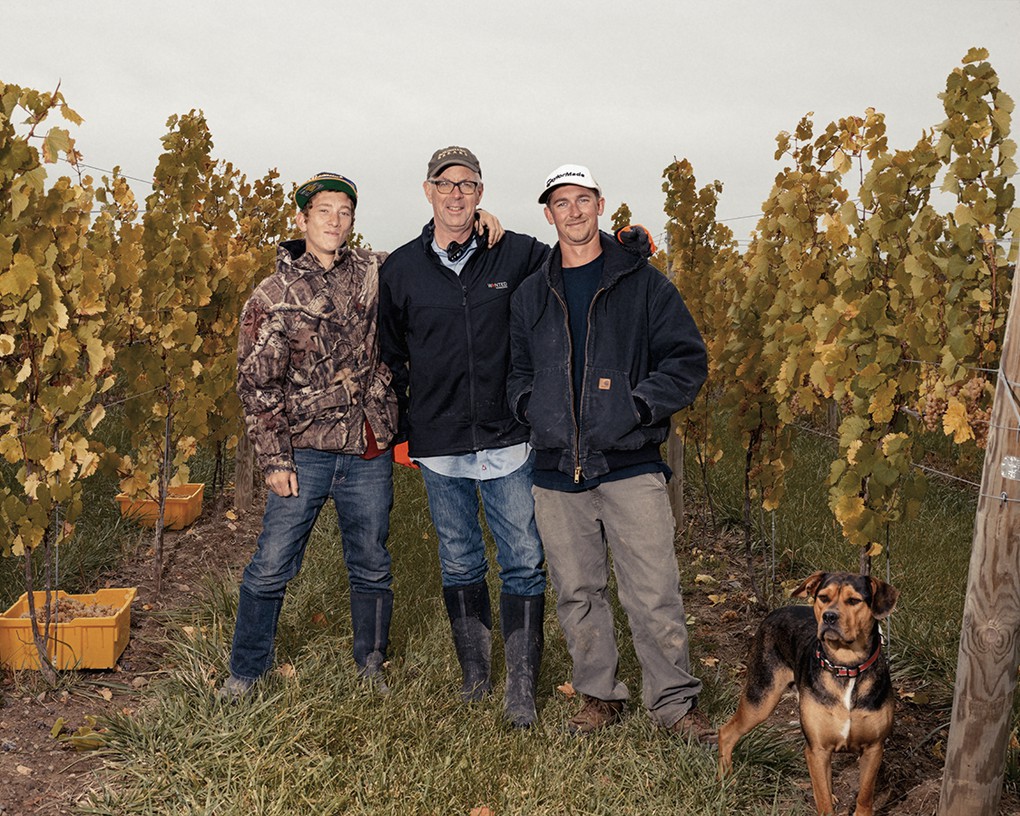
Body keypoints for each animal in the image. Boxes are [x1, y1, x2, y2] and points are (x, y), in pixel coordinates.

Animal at [718, 575, 901, 816]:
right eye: (823, 597)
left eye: (854, 600)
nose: (829, 616)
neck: (846, 668)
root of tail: (775, 610)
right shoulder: (817, 749)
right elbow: (823, 799)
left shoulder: (874, 748)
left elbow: (864, 794)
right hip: (760, 698)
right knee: (726, 732)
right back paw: (725, 779)